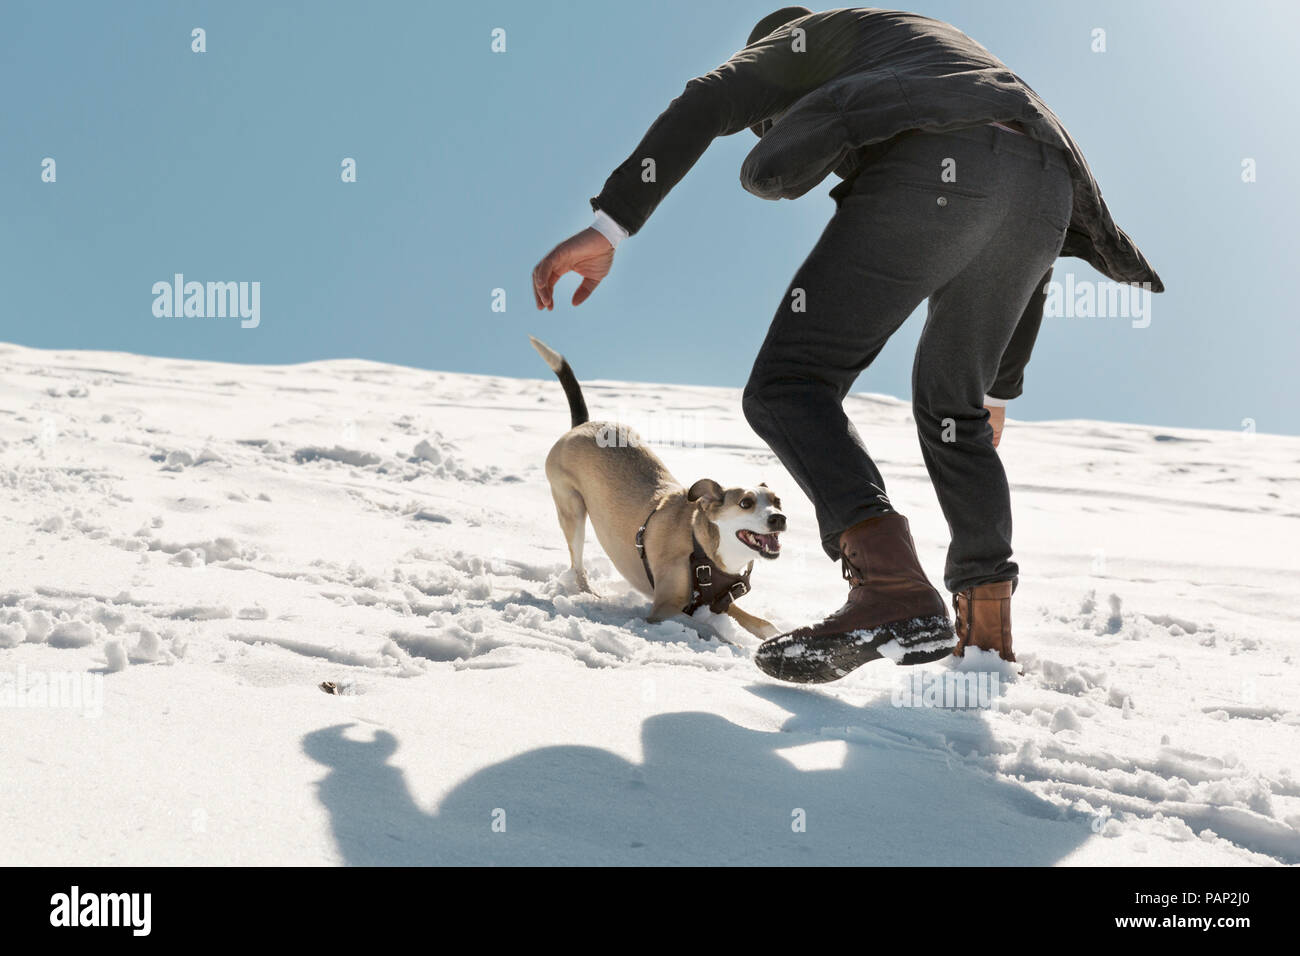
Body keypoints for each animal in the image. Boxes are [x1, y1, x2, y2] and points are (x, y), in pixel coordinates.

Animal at [527, 338, 780, 642]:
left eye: (778, 501)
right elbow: (706, 627)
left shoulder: (715, 602)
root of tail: (582, 424)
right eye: (746, 503)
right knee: (577, 564)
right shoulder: (663, 609)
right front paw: (732, 643)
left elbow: (765, 624)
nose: (779, 519)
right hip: (572, 510)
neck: (701, 543)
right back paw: (589, 593)